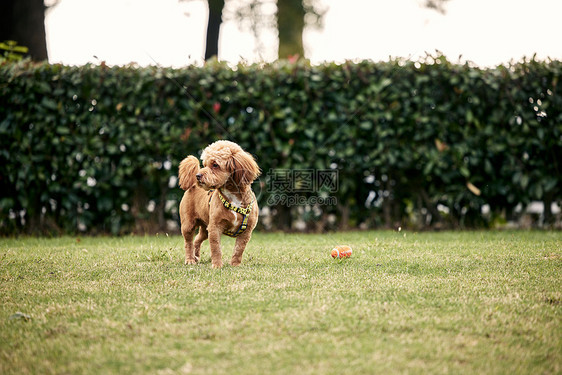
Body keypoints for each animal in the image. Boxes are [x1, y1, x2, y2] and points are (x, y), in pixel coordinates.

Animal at [177, 140, 260, 268]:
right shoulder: (215, 227)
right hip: (188, 224)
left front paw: (235, 264)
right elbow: (216, 248)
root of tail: (193, 185)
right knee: (188, 242)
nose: (198, 175)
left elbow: (239, 249)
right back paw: (190, 259)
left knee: (197, 239)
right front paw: (217, 265)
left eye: (215, 164)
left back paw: (196, 256)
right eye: (204, 164)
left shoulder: (247, 231)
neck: (232, 197)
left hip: (205, 228)